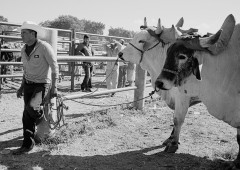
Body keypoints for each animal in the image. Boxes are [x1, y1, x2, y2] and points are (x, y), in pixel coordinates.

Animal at [118, 18, 201, 153]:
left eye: (141, 40)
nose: (120, 54)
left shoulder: (183, 96)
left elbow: (177, 119)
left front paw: (173, 144)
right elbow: (174, 118)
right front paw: (170, 138)